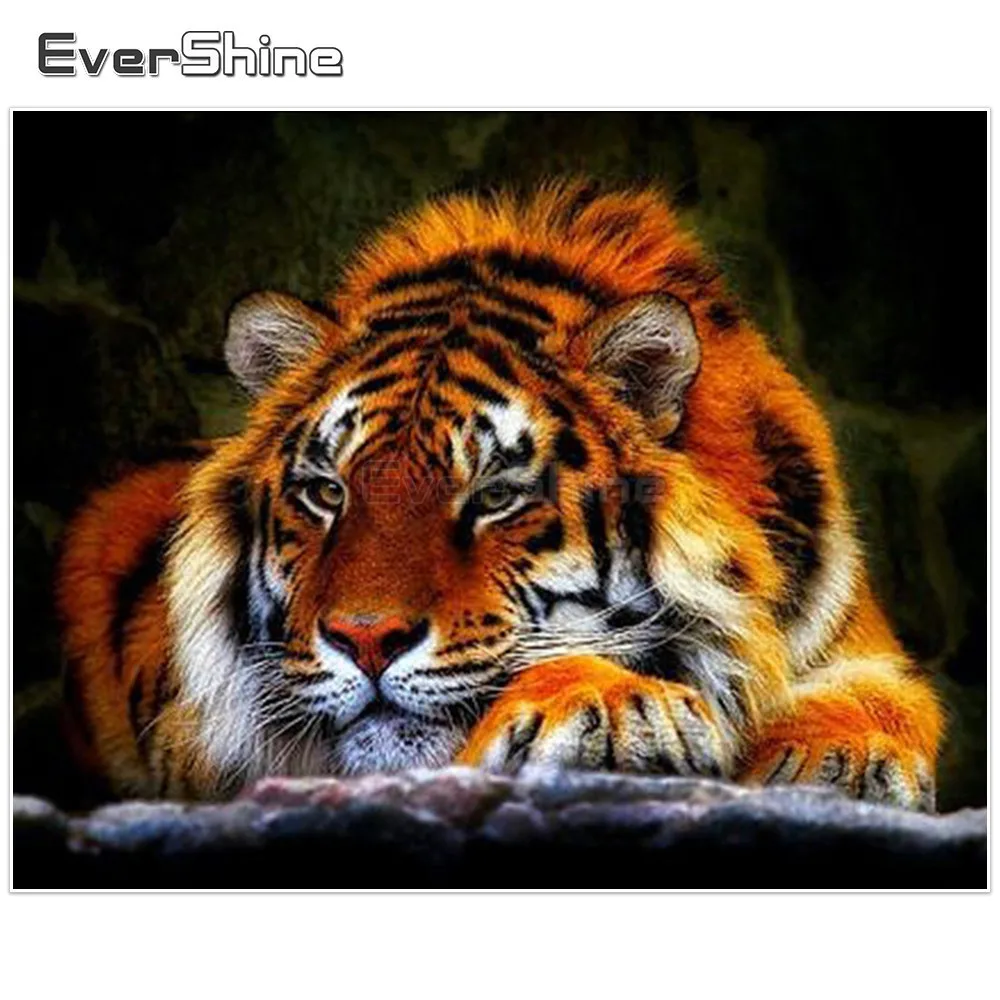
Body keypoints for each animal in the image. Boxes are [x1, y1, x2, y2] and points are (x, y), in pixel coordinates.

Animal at [56, 179, 942, 810]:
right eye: (326, 492)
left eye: (495, 496)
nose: (364, 640)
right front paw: (617, 705)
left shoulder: (856, 643)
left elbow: (885, 699)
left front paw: (838, 758)